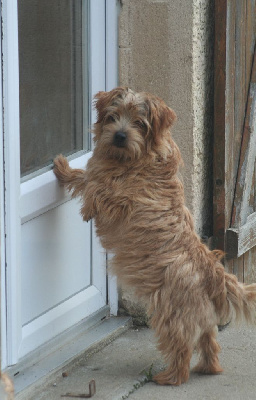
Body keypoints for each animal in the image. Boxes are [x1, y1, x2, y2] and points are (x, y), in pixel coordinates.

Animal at [53, 86, 256, 384]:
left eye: (140, 123)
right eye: (113, 116)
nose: (120, 135)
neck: (135, 158)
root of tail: (212, 270)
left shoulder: (120, 201)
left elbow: (96, 185)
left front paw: (84, 200)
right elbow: (87, 176)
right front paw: (65, 169)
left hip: (170, 313)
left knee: (182, 347)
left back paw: (169, 377)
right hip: (202, 317)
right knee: (209, 343)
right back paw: (208, 368)